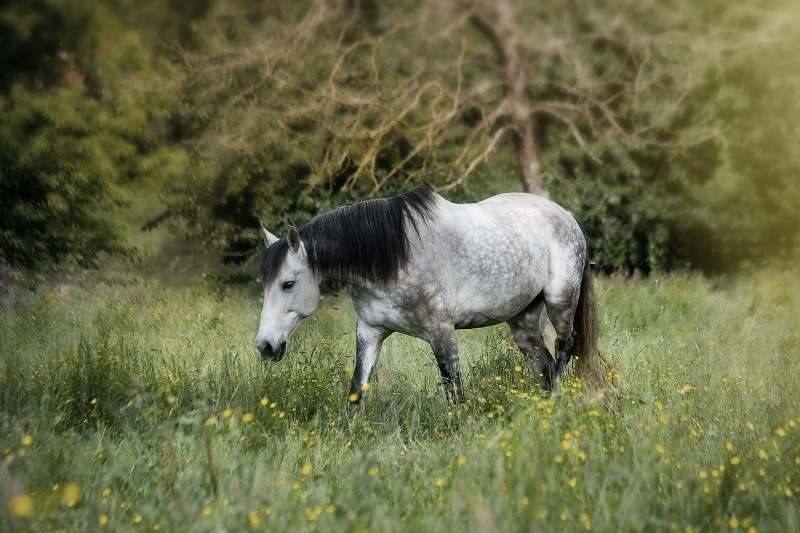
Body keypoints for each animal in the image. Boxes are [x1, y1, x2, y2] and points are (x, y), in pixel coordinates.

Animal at [258, 184, 608, 412]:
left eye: (288, 284)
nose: (265, 346)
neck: (394, 257)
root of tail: (567, 216)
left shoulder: (442, 333)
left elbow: (454, 390)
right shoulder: (370, 332)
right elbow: (357, 391)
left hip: (560, 302)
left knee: (564, 349)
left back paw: (557, 402)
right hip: (522, 320)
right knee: (542, 364)